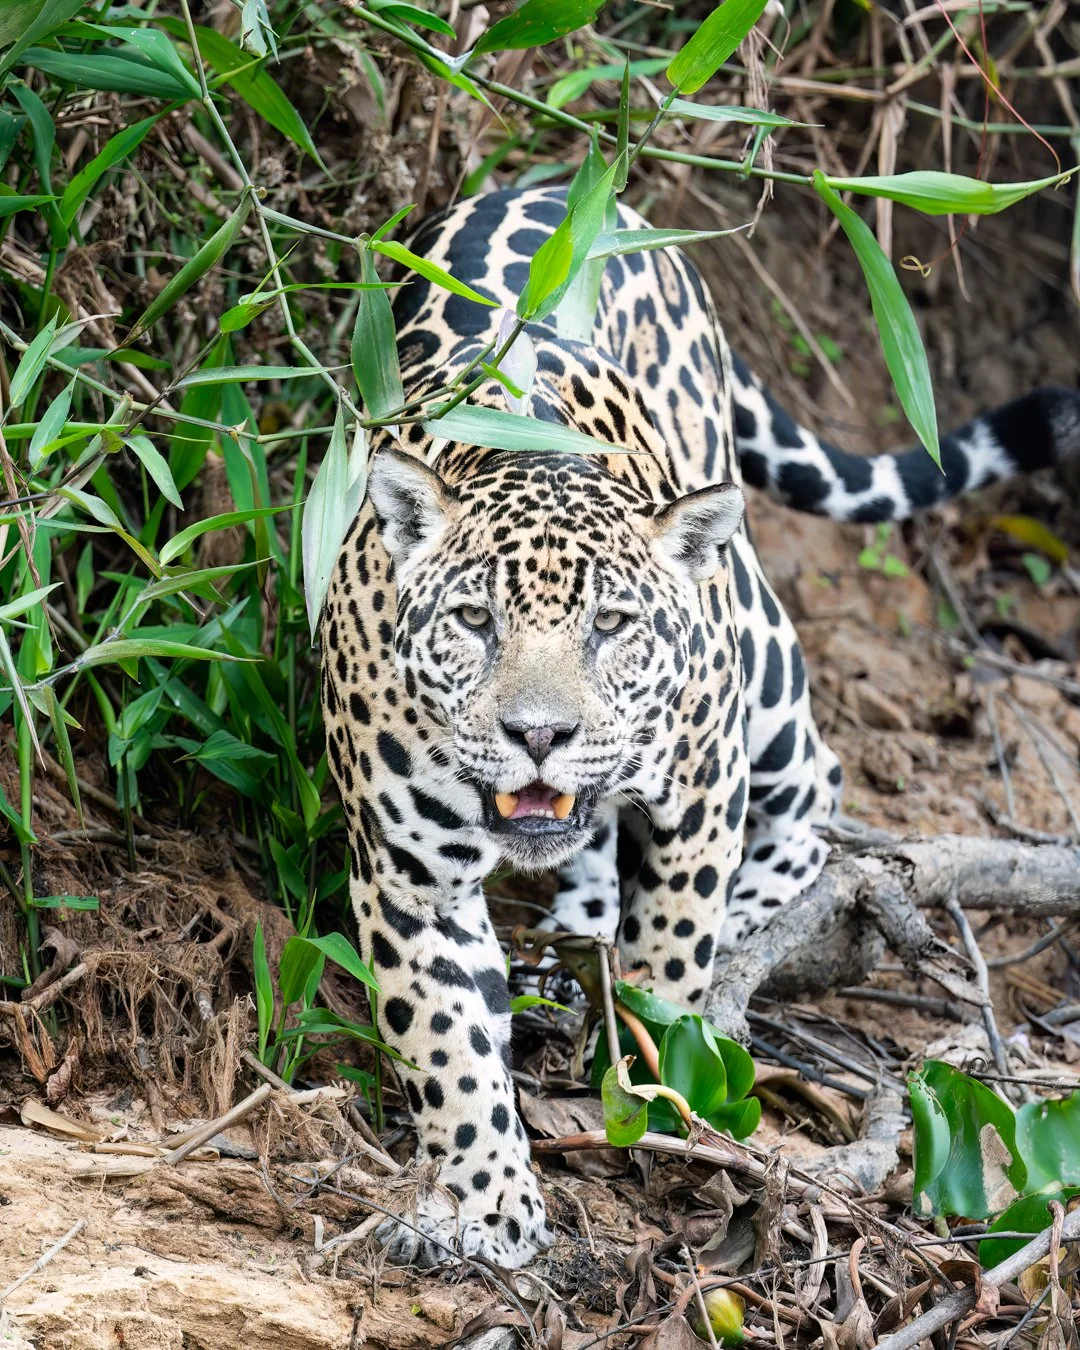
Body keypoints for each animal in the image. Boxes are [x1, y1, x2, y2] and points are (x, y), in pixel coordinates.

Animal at [320, 184, 1080, 1270]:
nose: (539, 735)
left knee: (814, 786)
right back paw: (575, 940)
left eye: (611, 626)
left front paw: (651, 1081)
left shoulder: (704, 781)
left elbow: (671, 953)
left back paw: (745, 925)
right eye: (473, 620)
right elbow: (448, 1038)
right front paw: (484, 1199)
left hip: (754, 642)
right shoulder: (407, 876)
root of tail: (559, 182)